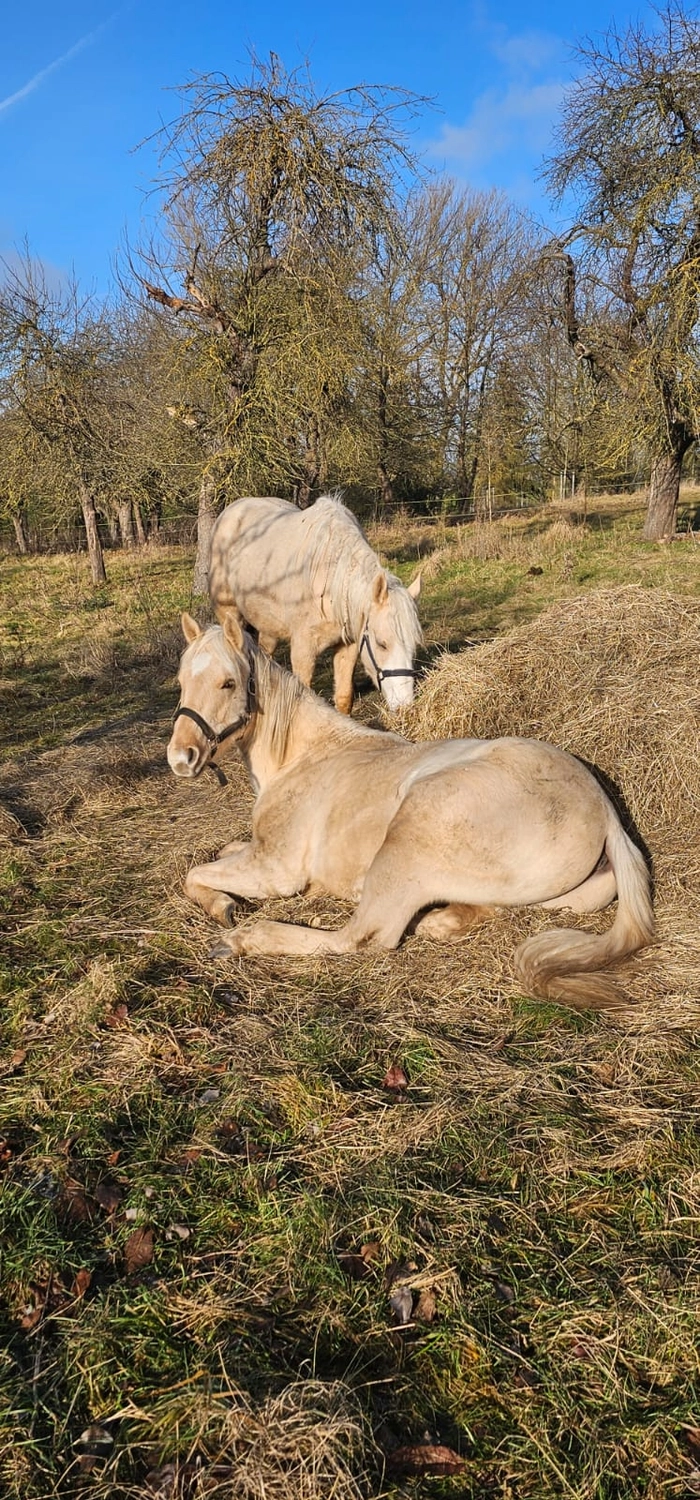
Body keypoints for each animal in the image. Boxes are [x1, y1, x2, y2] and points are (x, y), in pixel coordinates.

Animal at [167, 611, 654, 1011]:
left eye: (228, 683)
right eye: (182, 682)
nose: (180, 758)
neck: (302, 758)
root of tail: (604, 811)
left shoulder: (275, 870)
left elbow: (194, 875)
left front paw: (224, 908)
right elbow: (222, 855)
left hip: (410, 834)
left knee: (362, 937)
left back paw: (240, 940)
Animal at [207, 494, 422, 714]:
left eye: (414, 645)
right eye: (381, 643)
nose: (405, 707)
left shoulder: (348, 647)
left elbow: (344, 698)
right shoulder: (303, 651)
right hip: (229, 613)